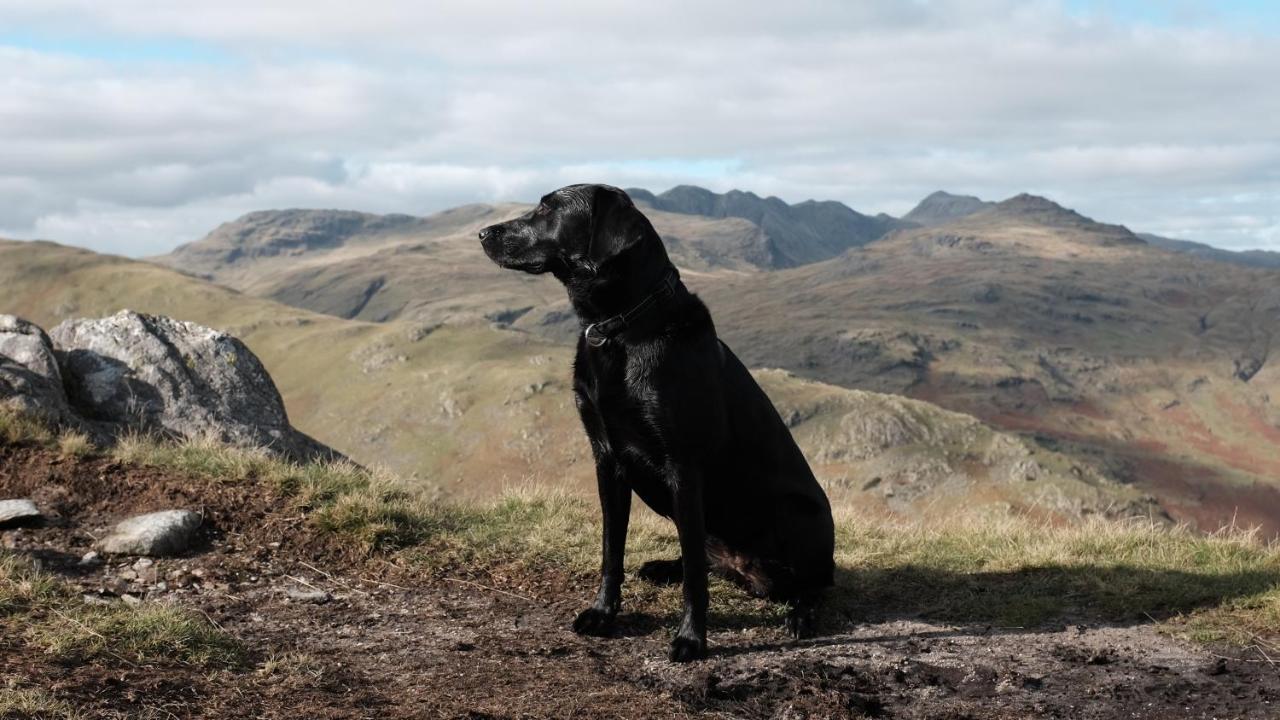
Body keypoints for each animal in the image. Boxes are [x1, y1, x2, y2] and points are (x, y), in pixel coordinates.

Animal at [478, 181, 829, 661]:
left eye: (548, 209)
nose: (482, 233)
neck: (621, 327)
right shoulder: (607, 459)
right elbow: (612, 549)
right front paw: (603, 614)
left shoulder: (683, 466)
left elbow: (695, 579)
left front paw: (691, 639)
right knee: (703, 556)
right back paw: (665, 567)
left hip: (797, 515)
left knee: (812, 584)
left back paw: (801, 615)